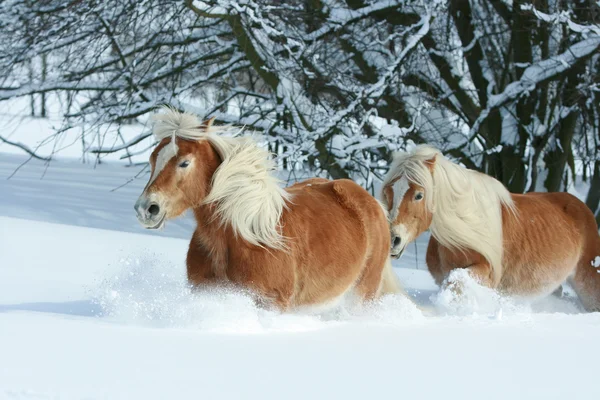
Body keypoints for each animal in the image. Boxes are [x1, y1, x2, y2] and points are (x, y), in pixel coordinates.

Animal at [135, 107, 408, 312]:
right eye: (152, 159)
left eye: (184, 162)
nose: (146, 209)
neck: (241, 237)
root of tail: (374, 204)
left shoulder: (273, 303)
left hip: (362, 295)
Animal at [380, 145, 600, 310]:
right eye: (388, 192)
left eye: (419, 195)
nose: (393, 239)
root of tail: (581, 207)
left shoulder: (486, 272)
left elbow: (457, 282)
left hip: (590, 285)